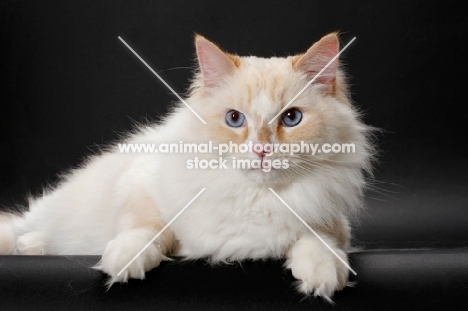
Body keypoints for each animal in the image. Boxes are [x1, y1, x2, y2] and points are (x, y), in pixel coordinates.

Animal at [0, 33, 372, 302]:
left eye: (291, 118)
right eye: (234, 119)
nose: (261, 150)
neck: (253, 196)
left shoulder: (330, 220)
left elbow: (316, 238)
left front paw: (323, 273)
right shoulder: (140, 187)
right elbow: (146, 228)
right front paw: (124, 261)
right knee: (21, 227)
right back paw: (28, 246)